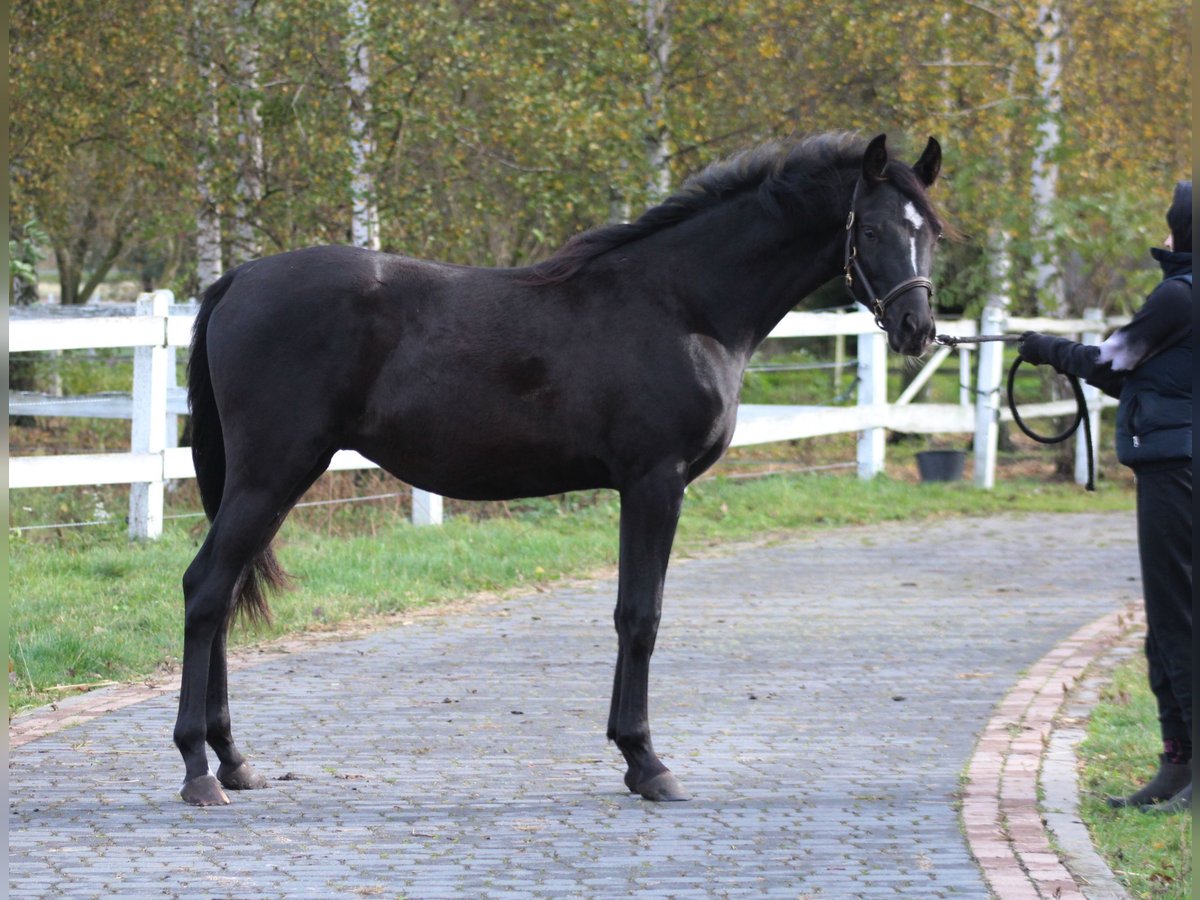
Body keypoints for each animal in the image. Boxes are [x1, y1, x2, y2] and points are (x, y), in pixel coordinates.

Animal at [175, 132, 945, 806]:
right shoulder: (655, 482)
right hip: (272, 473)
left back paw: (233, 758)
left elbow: (634, 612)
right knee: (206, 588)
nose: (918, 329)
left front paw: (634, 758)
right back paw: (197, 770)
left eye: (931, 231)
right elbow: (641, 616)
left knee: (222, 590)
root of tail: (238, 278)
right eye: (873, 230)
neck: (683, 305)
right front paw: (648, 762)